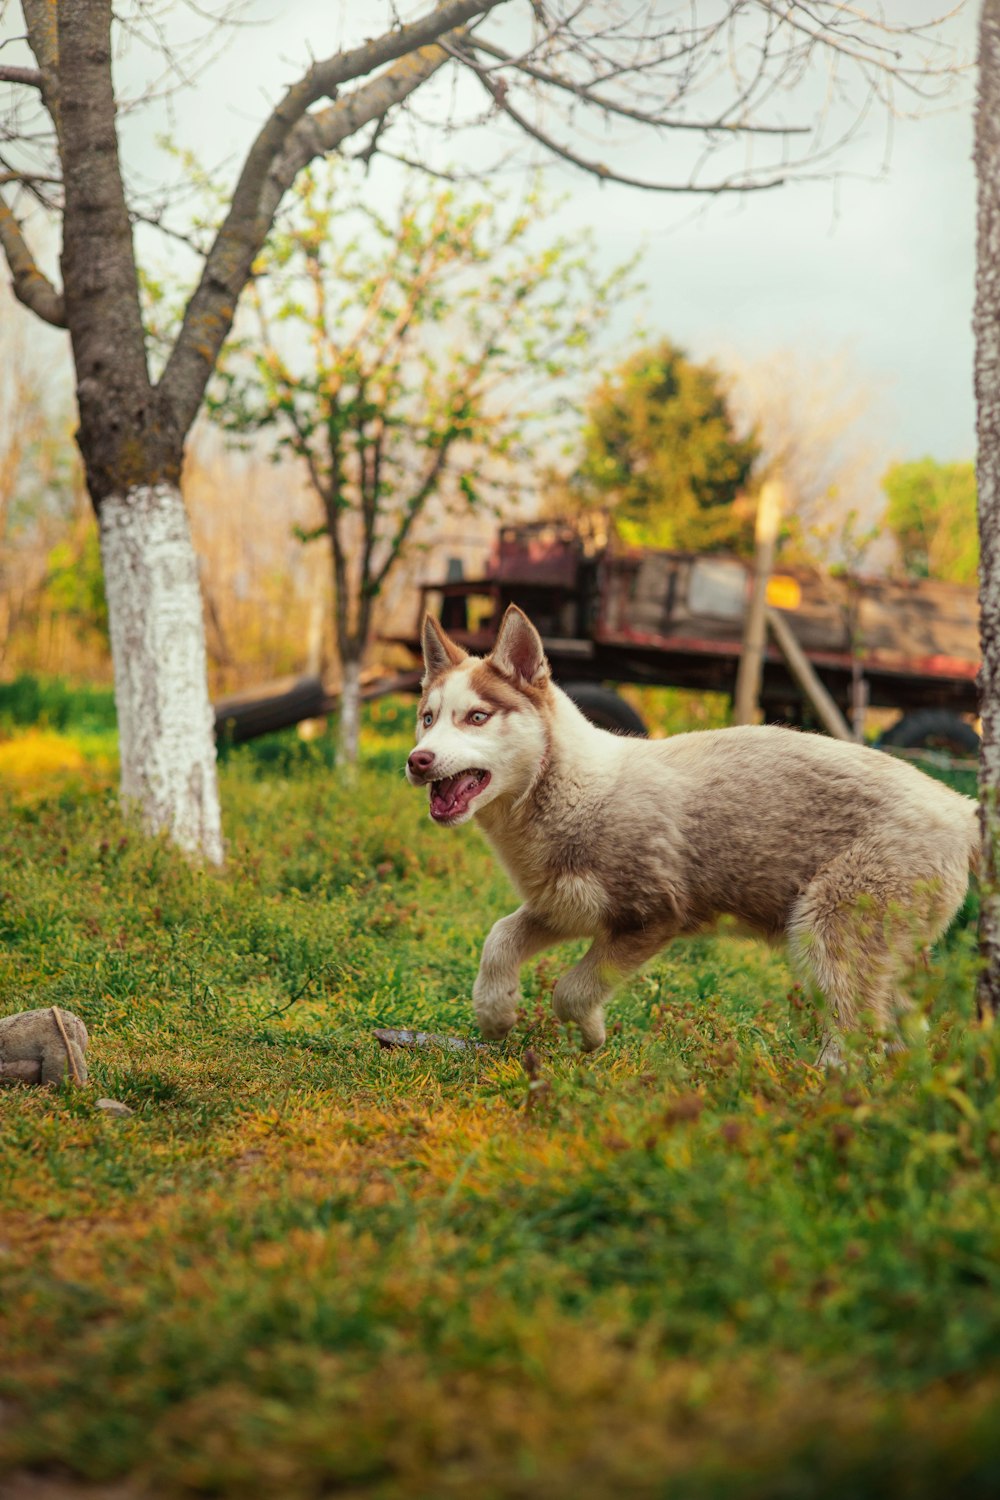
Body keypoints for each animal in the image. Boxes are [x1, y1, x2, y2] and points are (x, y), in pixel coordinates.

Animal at [404, 603, 977, 1062]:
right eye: (427, 718)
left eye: (477, 717)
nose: (416, 760)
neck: (578, 790)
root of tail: (961, 806)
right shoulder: (563, 906)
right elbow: (499, 937)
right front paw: (496, 1013)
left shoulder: (652, 918)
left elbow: (571, 990)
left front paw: (588, 1036)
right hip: (881, 955)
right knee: (904, 1033)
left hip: (827, 935)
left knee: (856, 1040)